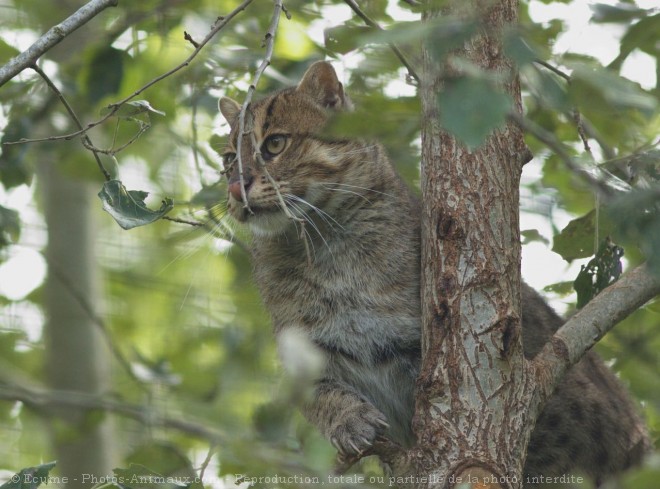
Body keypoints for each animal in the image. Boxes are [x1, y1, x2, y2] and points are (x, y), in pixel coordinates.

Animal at [220, 60, 648, 480]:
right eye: (228, 160)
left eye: (275, 143)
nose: (236, 189)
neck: (321, 245)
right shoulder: (309, 355)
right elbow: (323, 396)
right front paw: (349, 421)